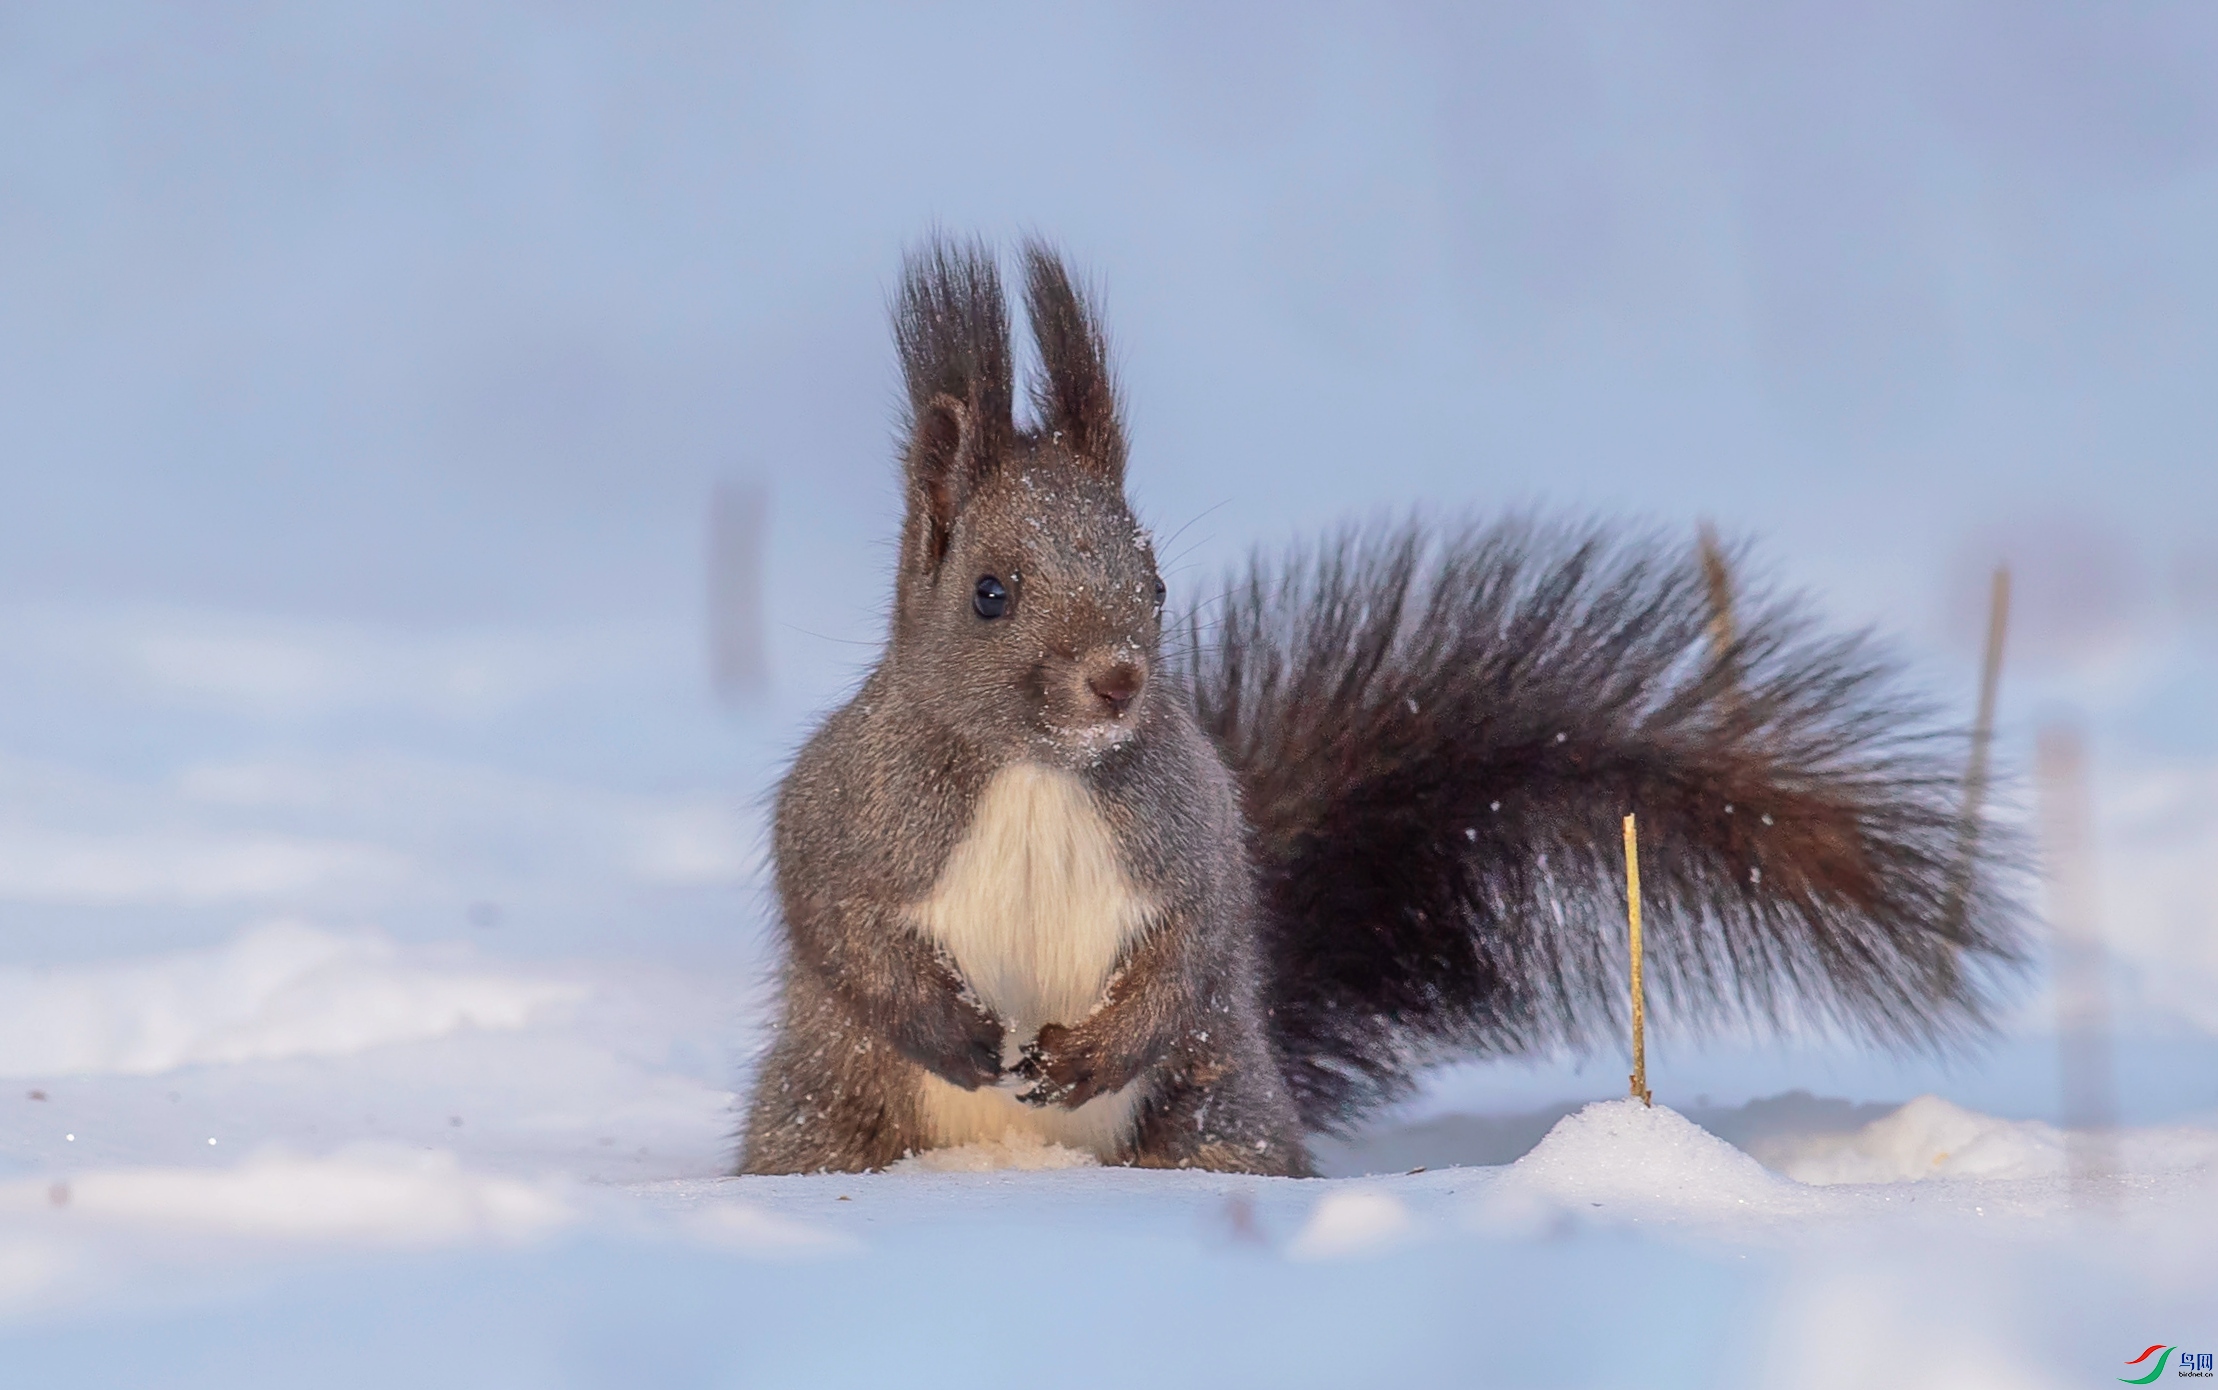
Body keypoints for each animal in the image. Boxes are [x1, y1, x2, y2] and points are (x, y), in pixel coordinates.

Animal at [731, 236, 2031, 1170]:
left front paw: (1091, 1050)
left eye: (1154, 581)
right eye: (989, 593)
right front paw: (953, 1028)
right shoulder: (849, 807)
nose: (1117, 678)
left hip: (1217, 1113)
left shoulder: (1194, 830)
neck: (1043, 767)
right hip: (823, 1111)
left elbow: (1200, 942)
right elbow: (833, 915)